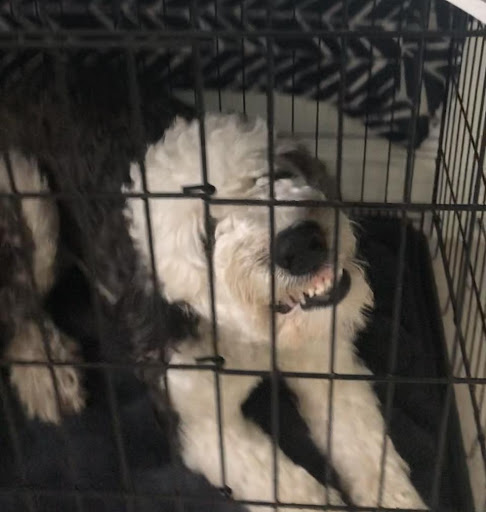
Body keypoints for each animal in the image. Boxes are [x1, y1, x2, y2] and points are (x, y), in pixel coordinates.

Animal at [126, 114, 430, 510]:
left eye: (273, 174)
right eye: (207, 233)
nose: (299, 244)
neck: (259, 336)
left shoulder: (325, 361)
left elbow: (363, 442)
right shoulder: (200, 423)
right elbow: (282, 484)